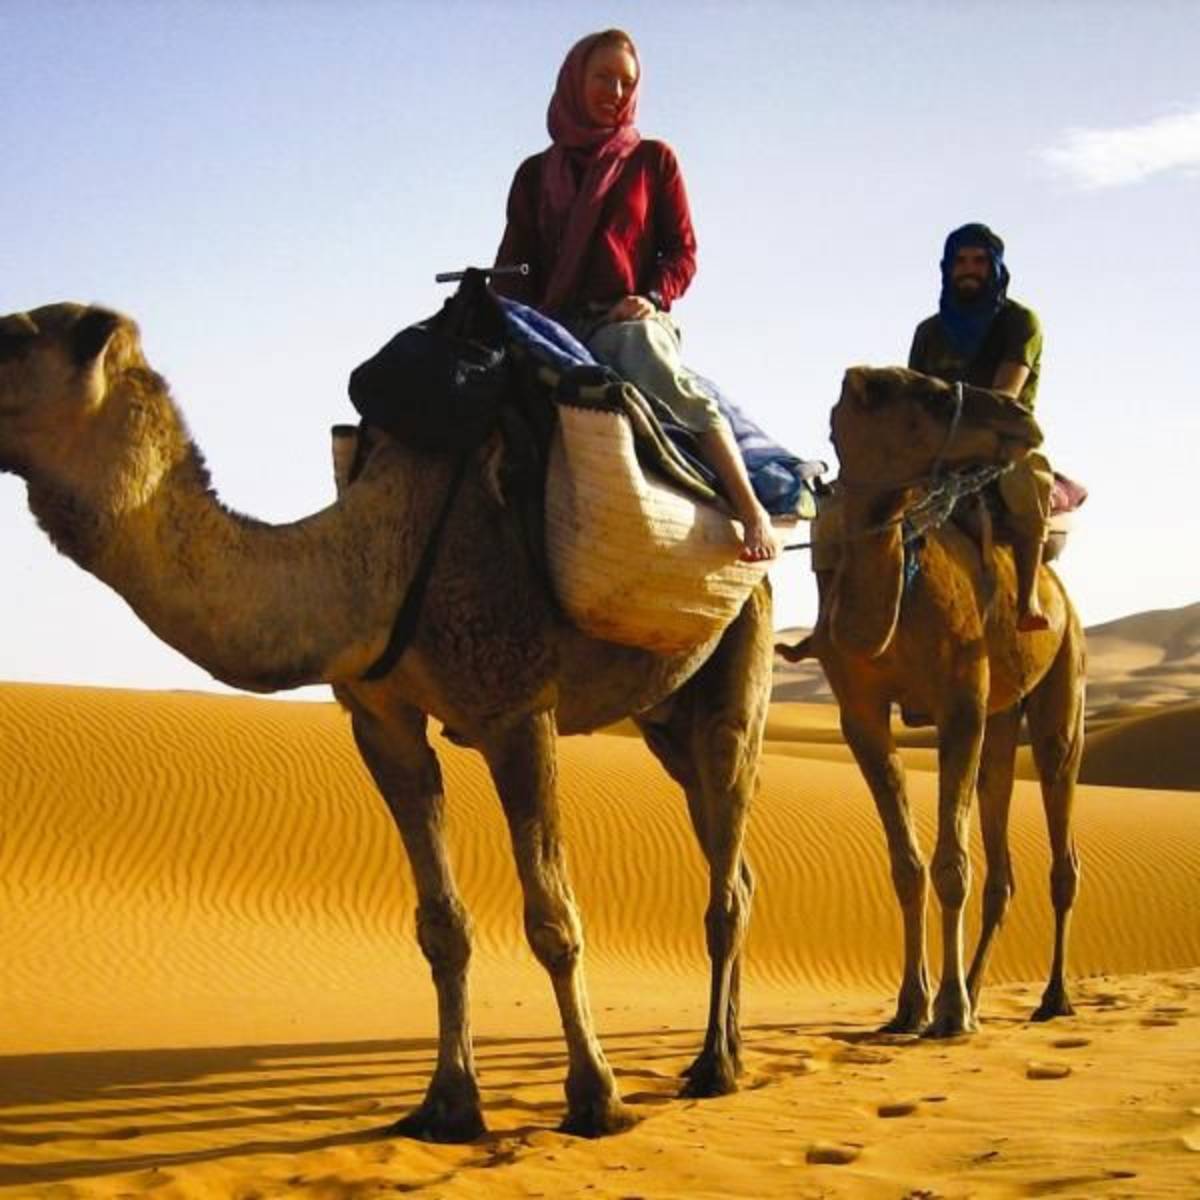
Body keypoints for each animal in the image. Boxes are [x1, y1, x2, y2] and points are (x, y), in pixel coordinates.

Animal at [0, 302, 775, 1139]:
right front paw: (448, 1104)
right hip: (666, 717)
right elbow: (441, 924)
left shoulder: (516, 707)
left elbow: (552, 919)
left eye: (14, 339)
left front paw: (596, 1098)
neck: (380, 562)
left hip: (741, 659)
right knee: (733, 862)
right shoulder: (380, 721)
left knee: (727, 865)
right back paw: (724, 1049)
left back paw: (715, 1066)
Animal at [779, 367, 1085, 1037]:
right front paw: (910, 1005)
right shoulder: (860, 715)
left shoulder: (960, 700)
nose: (1020, 418)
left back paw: (1052, 998)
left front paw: (949, 1011)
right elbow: (908, 866)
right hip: (1003, 718)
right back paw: (977, 986)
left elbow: (951, 865)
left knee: (1062, 847)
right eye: (932, 394)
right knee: (1002, 859)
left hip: (1064, 678)